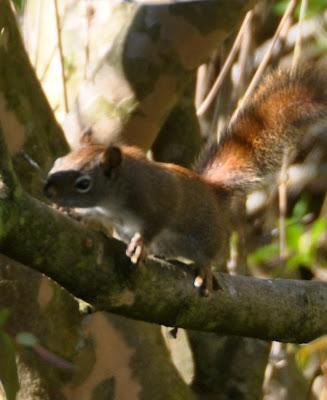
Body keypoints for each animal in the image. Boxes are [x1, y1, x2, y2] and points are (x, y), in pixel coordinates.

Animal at [43, 67, 327, 296]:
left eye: (83, 183)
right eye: (56, 164)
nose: (48, 190)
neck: (117, 194)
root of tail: (212, 192)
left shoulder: (156, 202)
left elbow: (154, 224)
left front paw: (139, 244)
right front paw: (72, 212)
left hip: (208, 236)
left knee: (210, 255)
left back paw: (204, 270)